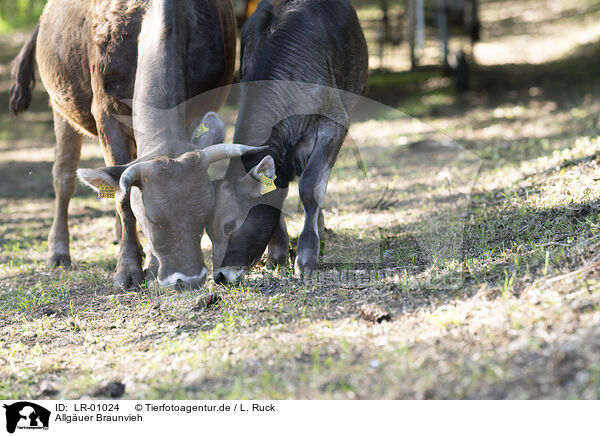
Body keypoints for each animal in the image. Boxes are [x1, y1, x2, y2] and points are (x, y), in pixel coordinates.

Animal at [9, 0, 260, 290]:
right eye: (152, 218)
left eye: (207, 209)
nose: (189, 279)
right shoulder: (107, 117)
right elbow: (122, 197)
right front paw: (128, 268)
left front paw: (150, 262)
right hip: (61, 108)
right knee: (64, 176)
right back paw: (59, 251)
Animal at [207, 0, 370, 282]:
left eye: (230, 224)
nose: (220, 277)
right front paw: (277, 255)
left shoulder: (334, 124)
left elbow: (310, 187)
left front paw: (306, 257)